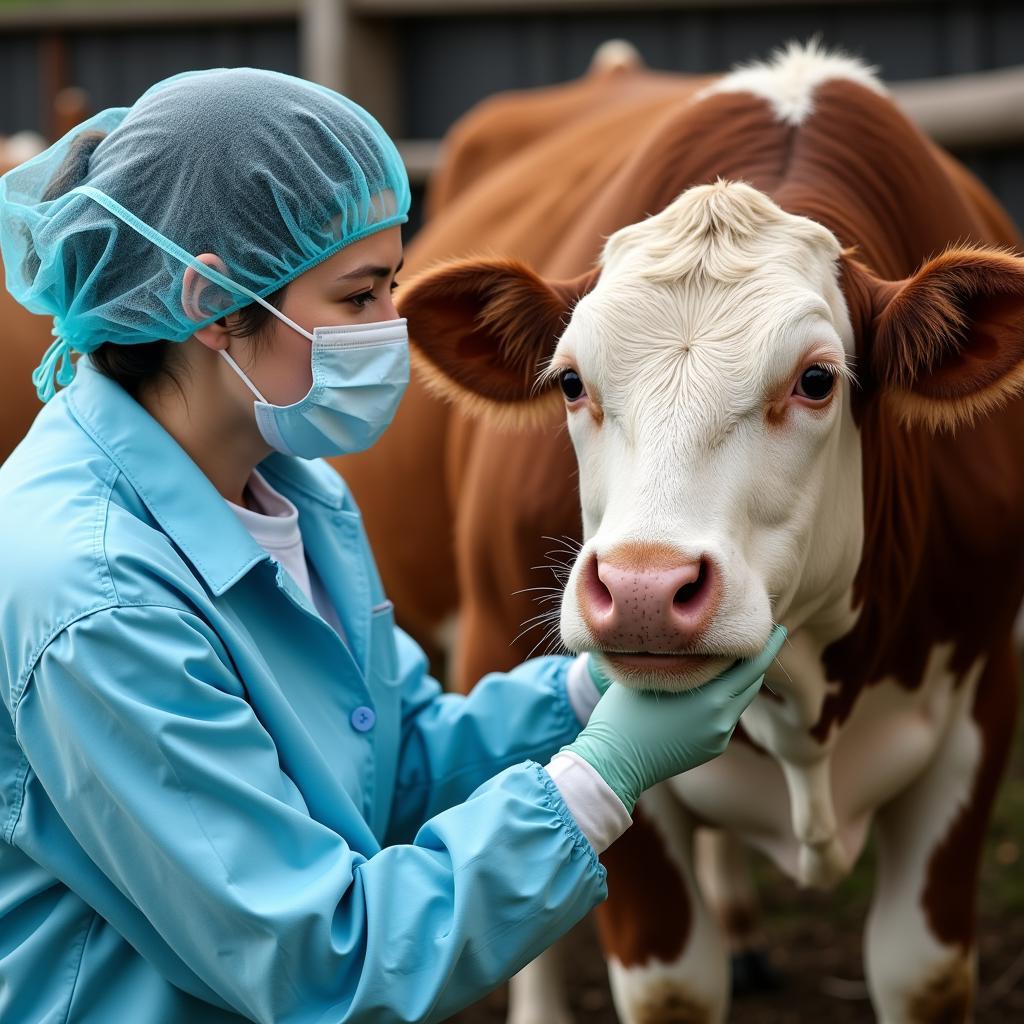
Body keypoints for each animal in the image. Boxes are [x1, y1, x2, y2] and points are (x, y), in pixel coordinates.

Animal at [385, 41, 1024, 1024]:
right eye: (569, 381)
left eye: (816, 380)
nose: (644, 588)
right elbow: (671, 986)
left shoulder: (982, 711)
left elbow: (921, 973)